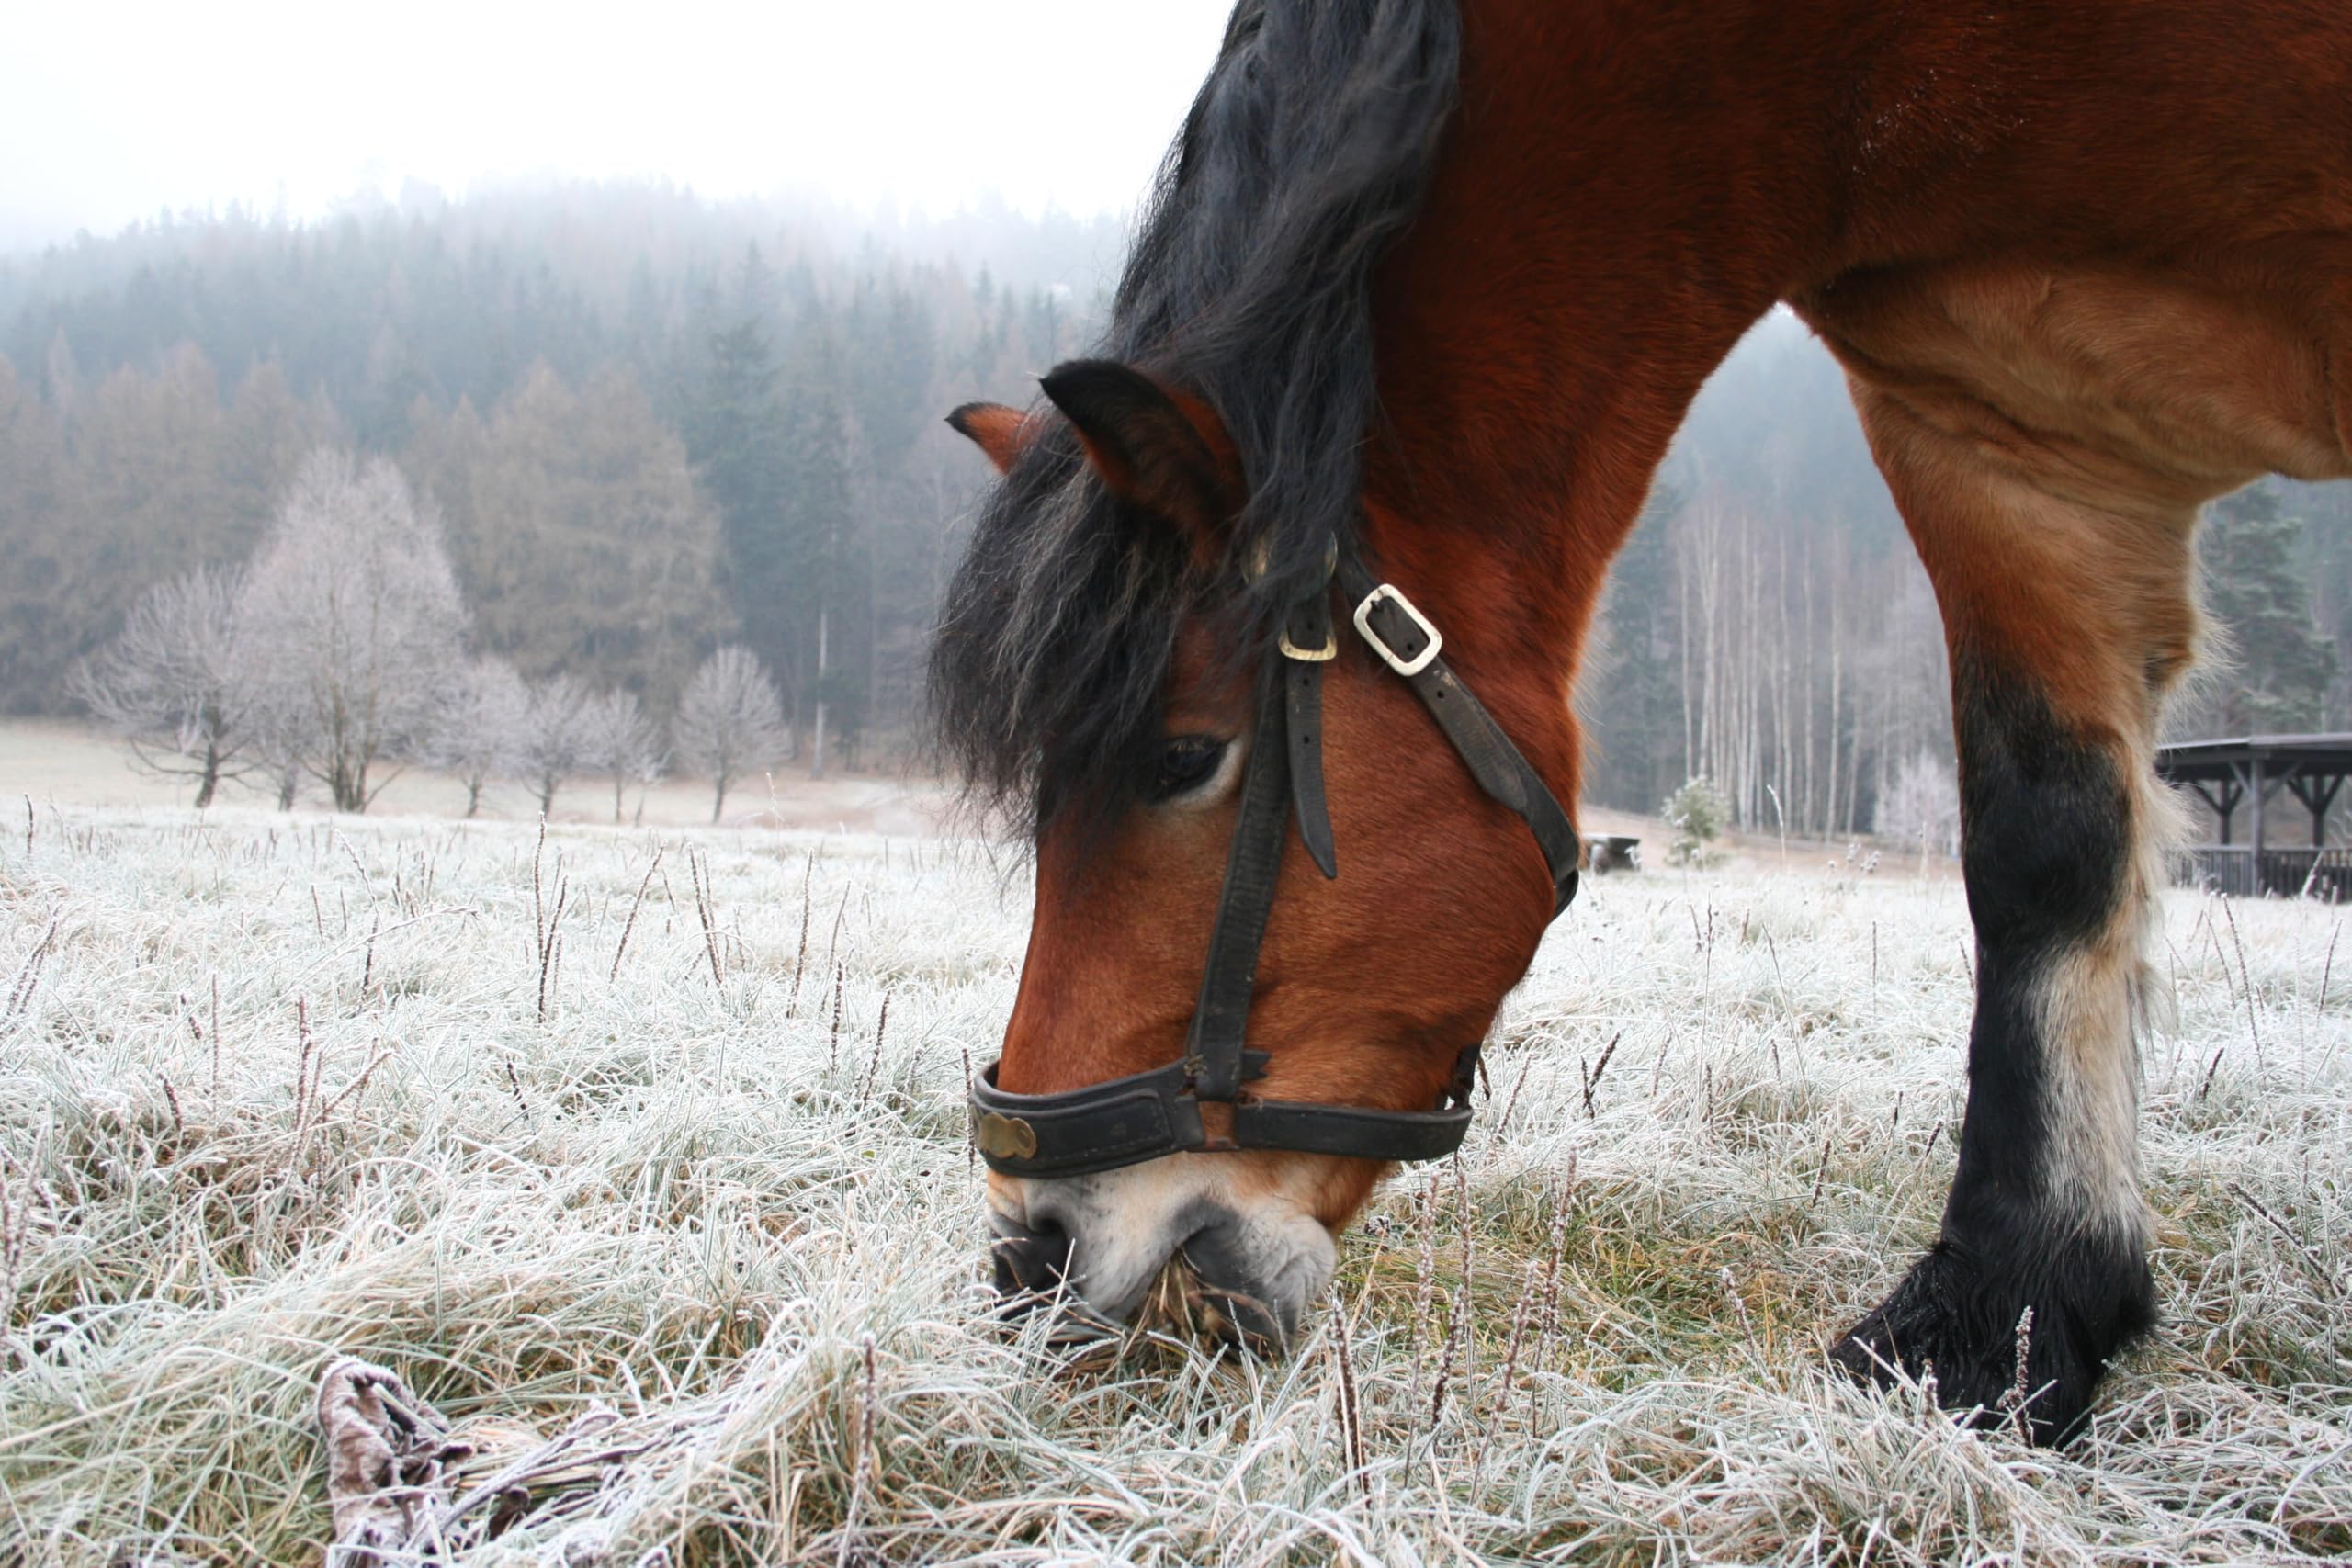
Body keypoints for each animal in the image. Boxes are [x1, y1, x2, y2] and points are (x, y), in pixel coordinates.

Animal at [928, 0, 2352, 1445]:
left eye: (1183, 756)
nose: (1034, 1247)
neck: (1866, 68)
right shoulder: (2010, 449)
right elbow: (2046, 847)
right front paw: (2014, 1311)